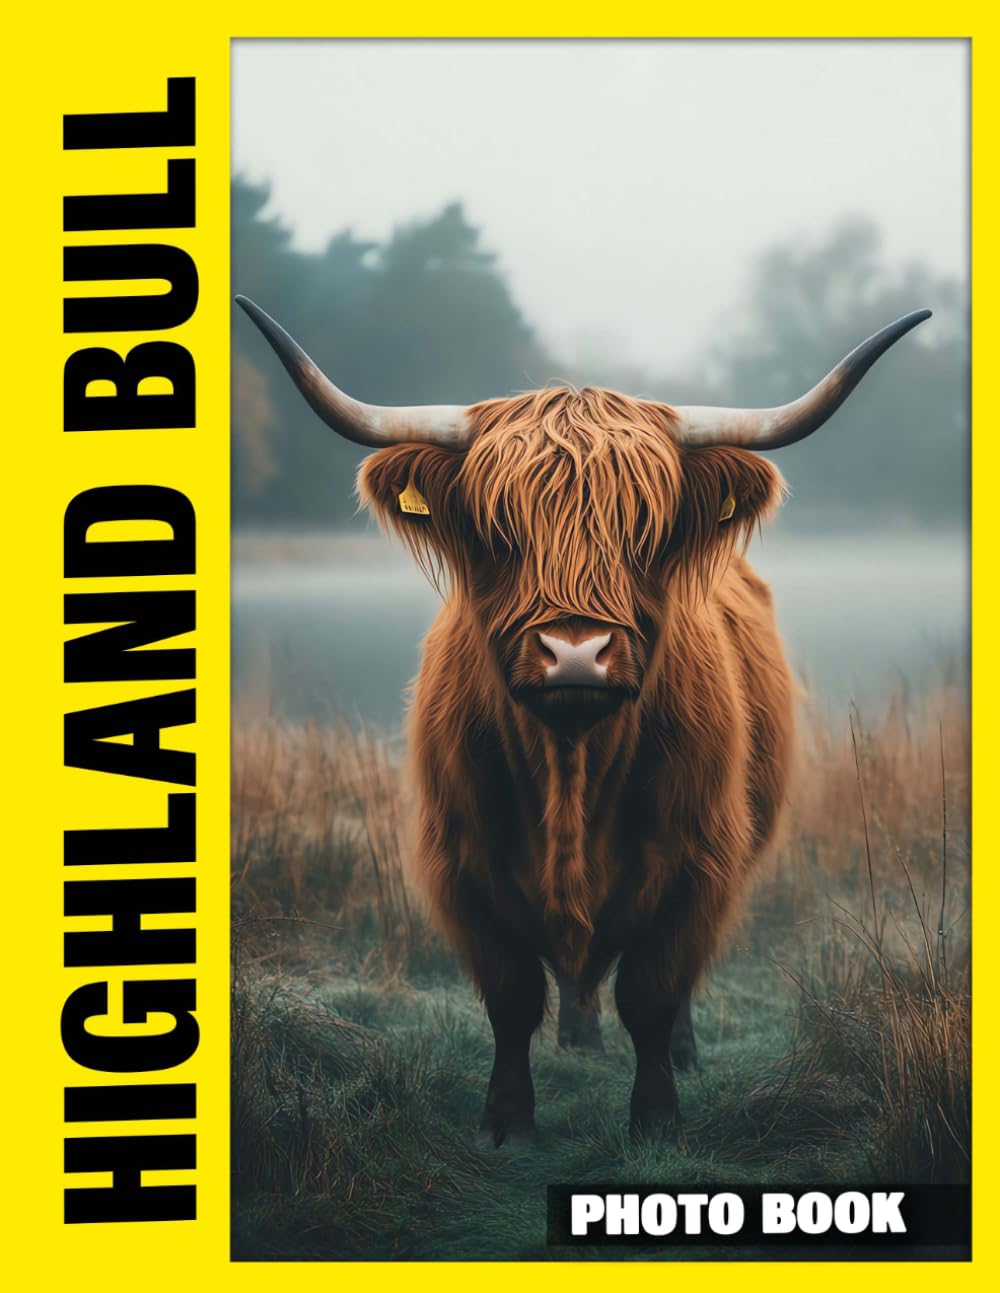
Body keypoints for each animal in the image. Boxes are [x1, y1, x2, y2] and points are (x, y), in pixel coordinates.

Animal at [236, 295, 930, 1144]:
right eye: (498, 532)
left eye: (646, 532)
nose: (575, 653)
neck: (571, 767)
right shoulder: (462, 863)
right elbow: (510, 997)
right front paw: (507, 1120)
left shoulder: (697, 862)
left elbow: (653, 991)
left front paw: (656, 1116)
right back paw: (576, 1036)